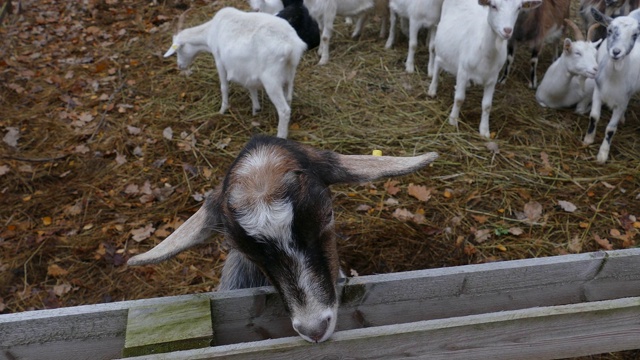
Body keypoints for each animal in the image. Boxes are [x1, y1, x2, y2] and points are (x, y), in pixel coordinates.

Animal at [164, 8, 306, 139]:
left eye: (178, 50)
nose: (180, 66)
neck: (211, 31)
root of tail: (292, 46)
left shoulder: (219, 59)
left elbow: (224, 87)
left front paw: (222, 110)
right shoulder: (248, 70)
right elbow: (251, 88)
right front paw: (255, 109)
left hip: (271, 79)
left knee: (284, 110)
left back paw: (281, 136)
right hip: (290, 73)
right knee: (289, 97)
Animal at [428, 0, 544, 138]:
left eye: (519, 8)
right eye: (493, 6)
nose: (507, 30)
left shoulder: (493, 78)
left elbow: (487, 105)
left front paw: (484, 130)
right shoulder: (463, 71)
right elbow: (459, 99)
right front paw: (453, 120)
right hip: (442, 44)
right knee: (437, 61)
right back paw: (432, 89)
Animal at [584, 7, 640, 162]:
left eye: (635, 35)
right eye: (609, 30)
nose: (616, 52)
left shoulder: (621, 102)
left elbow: (610, 129)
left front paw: (602, 155)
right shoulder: (597, 91)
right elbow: (594, 116)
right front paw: (588, 139)